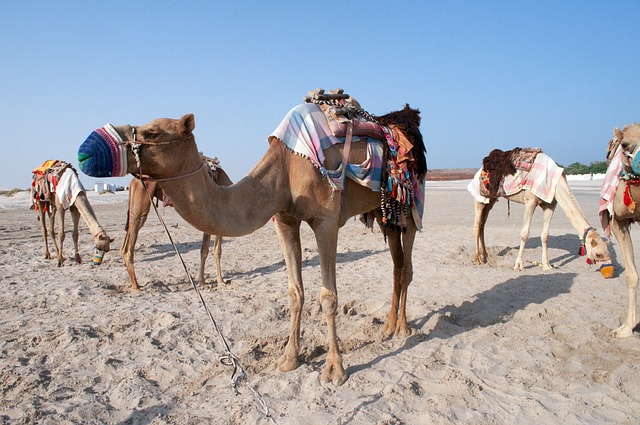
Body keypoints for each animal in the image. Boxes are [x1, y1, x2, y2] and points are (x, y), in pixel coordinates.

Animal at [121, 160, 234, 292]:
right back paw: (136, 286)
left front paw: (212, 281)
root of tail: (133, 181)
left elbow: (213, 250)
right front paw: (209, 282)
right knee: (131, 240)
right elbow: (209, 251)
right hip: (142, 199)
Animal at [470, 147, 608, 270]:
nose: (606, 268)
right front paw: (518, 265)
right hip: (480, 198)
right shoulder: (530, 201)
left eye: (608, 252)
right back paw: (477, 259)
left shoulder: (550, 204)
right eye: (598, 254)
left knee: (482, 225)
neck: (556, 182)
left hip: (491, 200)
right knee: (476, 225)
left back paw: (485, 256)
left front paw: (547, 265)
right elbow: (525, 233)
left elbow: (545, 235)